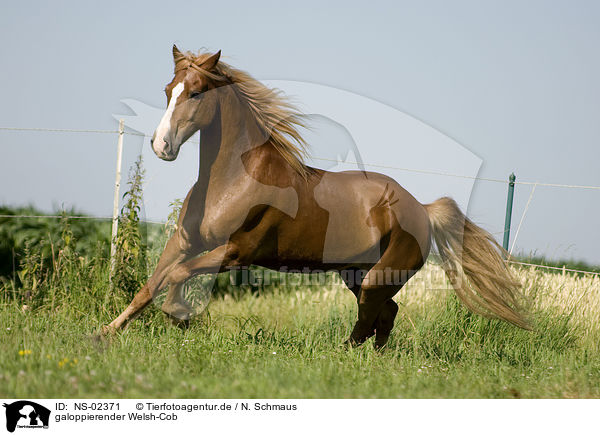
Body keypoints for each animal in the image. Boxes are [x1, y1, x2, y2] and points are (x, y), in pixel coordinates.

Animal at [104, 46, 528, 350]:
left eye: (195, 93)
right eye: (167, 91)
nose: (162, 146)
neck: (233, 179)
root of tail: (422, 210)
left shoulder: (236, 252)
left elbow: (178, 275)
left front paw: (177, 313)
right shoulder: (185, 240)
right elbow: (151, 284)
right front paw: (104, 334)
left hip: (380, 275)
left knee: (374, 314)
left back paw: (347, 355)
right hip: (356, 273)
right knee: (385, 312)